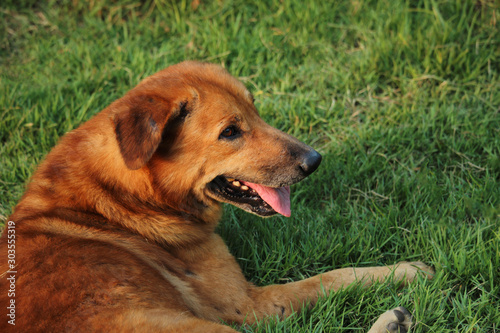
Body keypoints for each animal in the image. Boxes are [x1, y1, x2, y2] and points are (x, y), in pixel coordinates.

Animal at [0, 61, 432, 330]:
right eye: (230, 132)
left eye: (256, 112)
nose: (314, 161)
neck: (120, 198)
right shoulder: (253, 305)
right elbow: (333, 277)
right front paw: (405, 270)